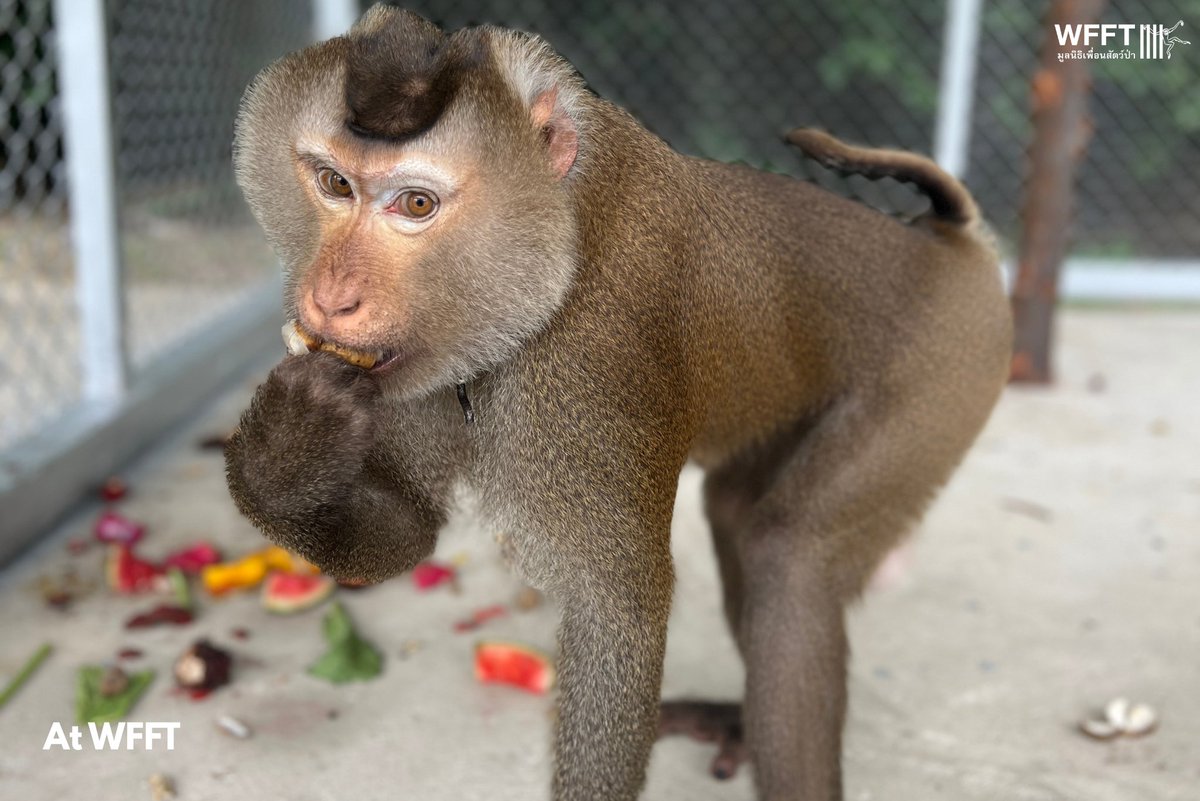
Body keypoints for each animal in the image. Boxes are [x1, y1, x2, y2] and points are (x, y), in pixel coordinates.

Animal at [223, 6, 1012, 800]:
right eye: (333, 182)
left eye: (416, 204)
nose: (331, 298)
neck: (559, 232)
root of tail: (952, 243)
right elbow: (409, 527)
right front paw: (285, 455)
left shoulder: (595, 355)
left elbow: (618, 609)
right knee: (737, 513)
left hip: (944, 376)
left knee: (790, 556)